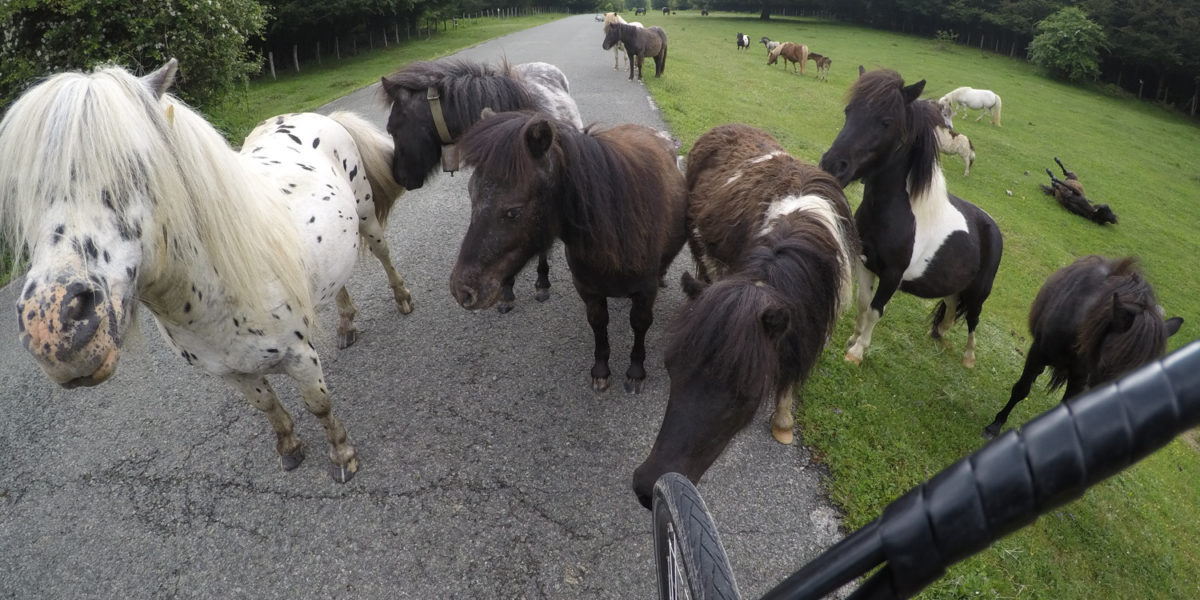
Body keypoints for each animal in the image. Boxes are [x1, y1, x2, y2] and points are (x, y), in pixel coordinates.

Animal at [0, 59, 414, 483]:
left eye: (136, 166)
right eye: (19, 190)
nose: (52, 332)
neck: (214, 298)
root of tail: (316, 118)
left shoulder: (300, 357)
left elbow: (319, 405)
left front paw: (342, 455)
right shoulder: (230, 372)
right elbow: (267, 406)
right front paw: (289, 447)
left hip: (366, 218)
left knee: (384, 256)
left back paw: (402, 300)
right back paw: (346, 325)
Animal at [449, 110, 686, 394]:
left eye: (513, 211)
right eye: (471, 194)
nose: (463, 290)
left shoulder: (645, 291)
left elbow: (640, 324)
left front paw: (636, 372)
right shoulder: (588, 289)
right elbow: (598, 322)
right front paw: (601, 370)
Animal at [819, 67, 1003, 367]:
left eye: (886, 122)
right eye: (849, 111)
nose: (833, 166)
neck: (896, 215)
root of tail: (992, 227)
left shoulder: (892, 275)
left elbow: (875, 310)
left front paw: (857, 351)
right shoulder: (865, 262)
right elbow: (862, 303)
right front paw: (852, 339)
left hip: (978, 293)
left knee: (973, 319)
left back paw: (968, 357)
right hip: (954, 286)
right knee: (952, 306)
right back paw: (938, 332)